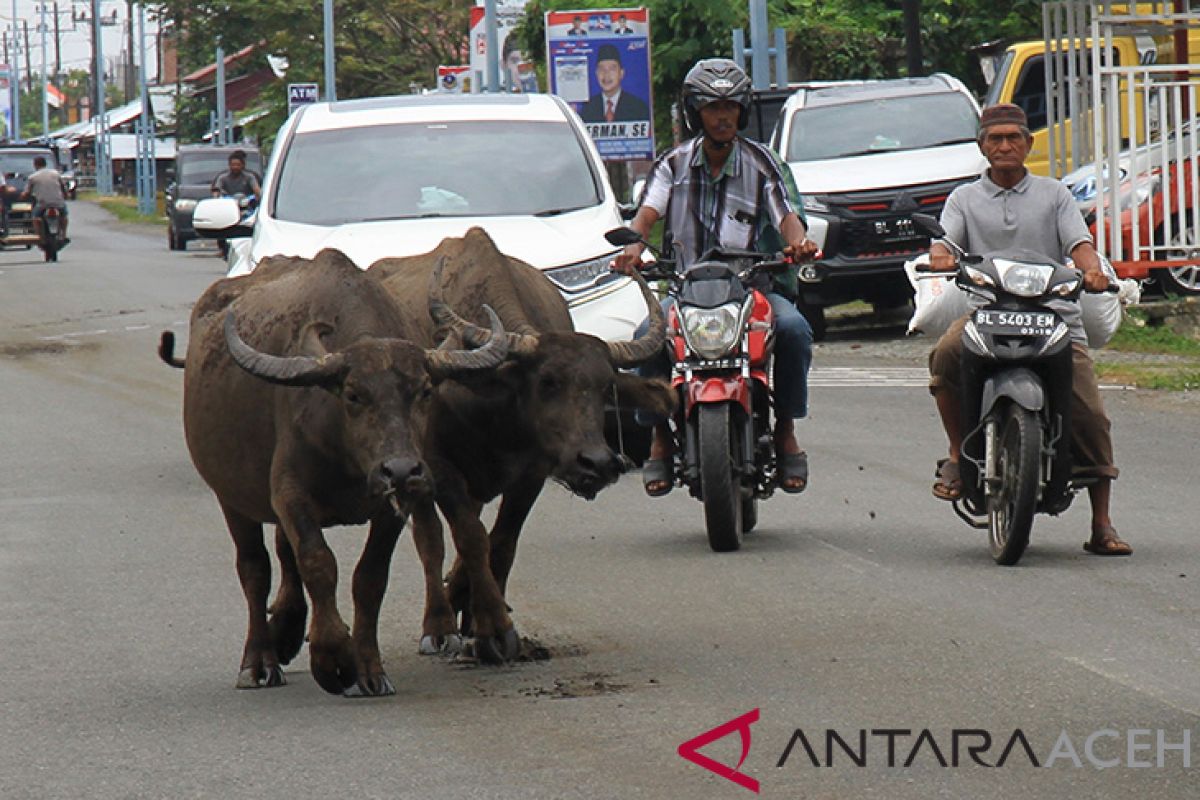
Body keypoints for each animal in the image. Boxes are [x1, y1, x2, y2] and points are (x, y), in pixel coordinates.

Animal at [164, 248, 511, 695]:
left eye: (424, 391)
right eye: (353, 394)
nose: (402, 470)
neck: (349, 458)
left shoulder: (390, 508)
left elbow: (369, 579)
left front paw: (368, 669)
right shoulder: (290, 495)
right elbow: (318, 564)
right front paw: (334, 659)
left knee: (283, 555)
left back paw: (287, 630)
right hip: (231, 498)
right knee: (254, 570)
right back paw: (259, 661)